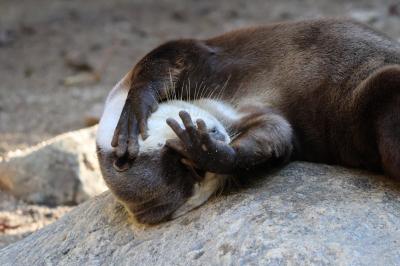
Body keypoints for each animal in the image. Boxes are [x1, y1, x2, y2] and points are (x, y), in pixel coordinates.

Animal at [96, 17, 400, 223]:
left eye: (181, 157)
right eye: (196, 171)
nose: (212, 136)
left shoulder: (193, 52)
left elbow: (160, 60)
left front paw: (135, 110)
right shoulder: (259, 119)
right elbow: (276, 134)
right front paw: (213, 153)